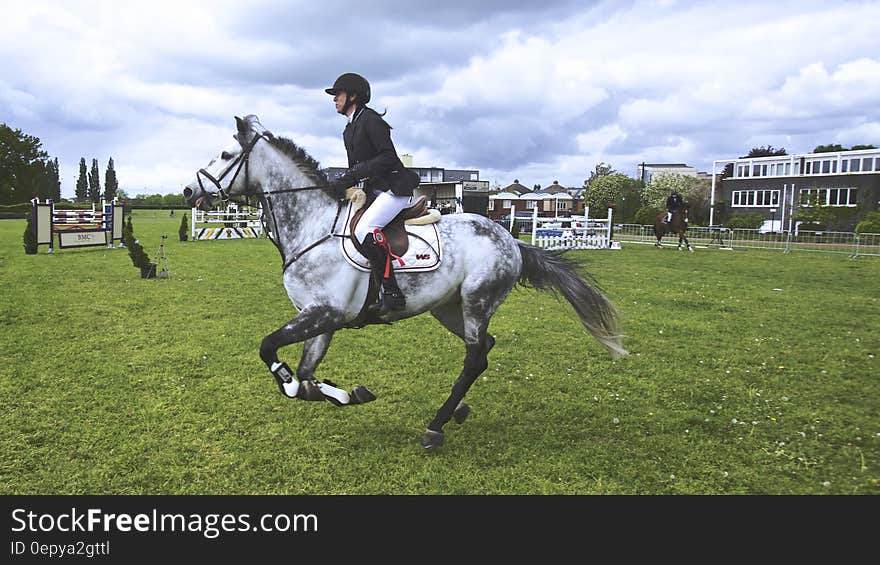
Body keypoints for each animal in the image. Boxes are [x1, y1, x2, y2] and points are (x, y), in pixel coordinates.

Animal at [184, 115, 624, 450]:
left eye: (226, 155)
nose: (190, 190)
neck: (312, 225)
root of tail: (510, 239)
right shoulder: (322, 319)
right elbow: (307, 377)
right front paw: (347, 393)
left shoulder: (323, 313)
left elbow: (271, 351)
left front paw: (305, 385)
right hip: (449, 308)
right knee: (483, 348)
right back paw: (457, 410)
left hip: (477, 300)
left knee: (475, 357)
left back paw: (436, 425)